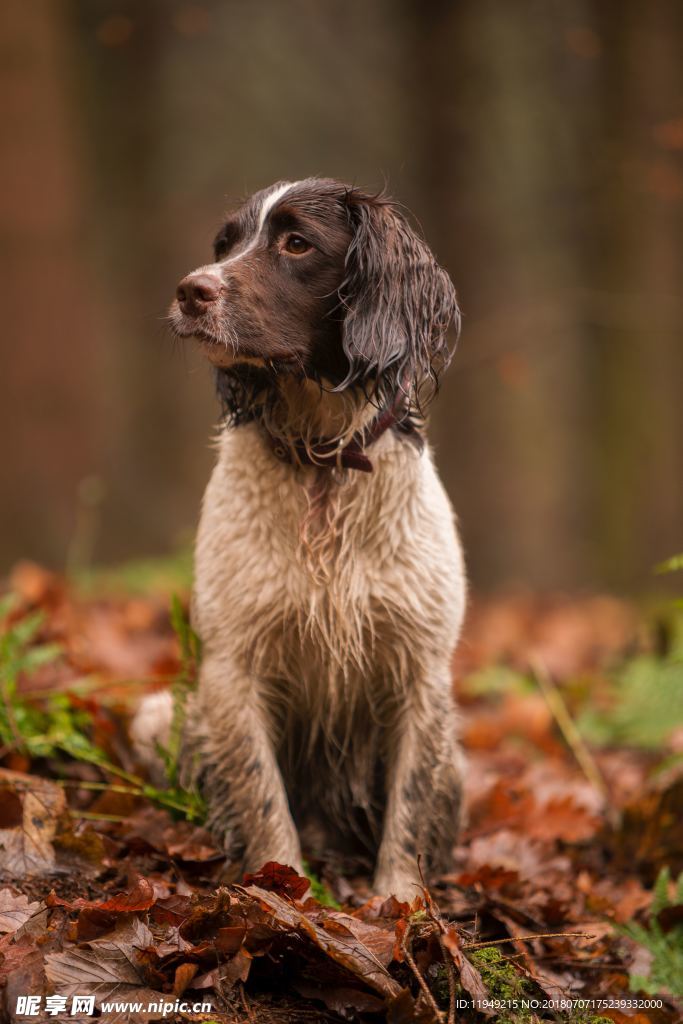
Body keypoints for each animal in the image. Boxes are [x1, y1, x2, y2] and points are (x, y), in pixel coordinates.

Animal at [131, 178, 466, 897]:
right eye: (224, 243)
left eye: (296, 243)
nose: (190, 290)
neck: (322, 465)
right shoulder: (234, 666)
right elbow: (262, 799)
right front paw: (284, 890)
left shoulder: (420, 669)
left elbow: (408, 807)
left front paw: (399, 903)